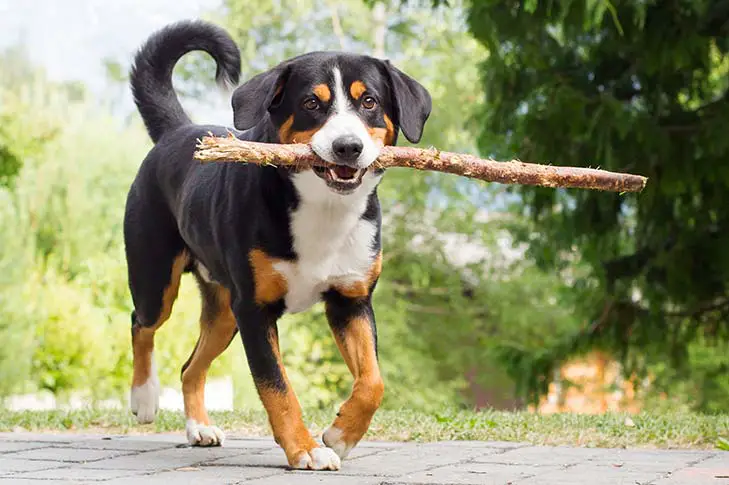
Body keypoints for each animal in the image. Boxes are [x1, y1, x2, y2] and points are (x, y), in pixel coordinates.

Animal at [124, 20, 430, 470]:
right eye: (311, 103)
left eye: (369, 101)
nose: (348, 147)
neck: (324, 210)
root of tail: (177, 131)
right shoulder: (255, 310)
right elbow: (277, 387)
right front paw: (306, 449)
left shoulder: (351, 300)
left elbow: (373, 381)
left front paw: (341, 434)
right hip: (157, 279)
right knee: (141, 324)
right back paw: (144, 396)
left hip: (224, 312)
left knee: (190, 367)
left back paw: (199, 428)